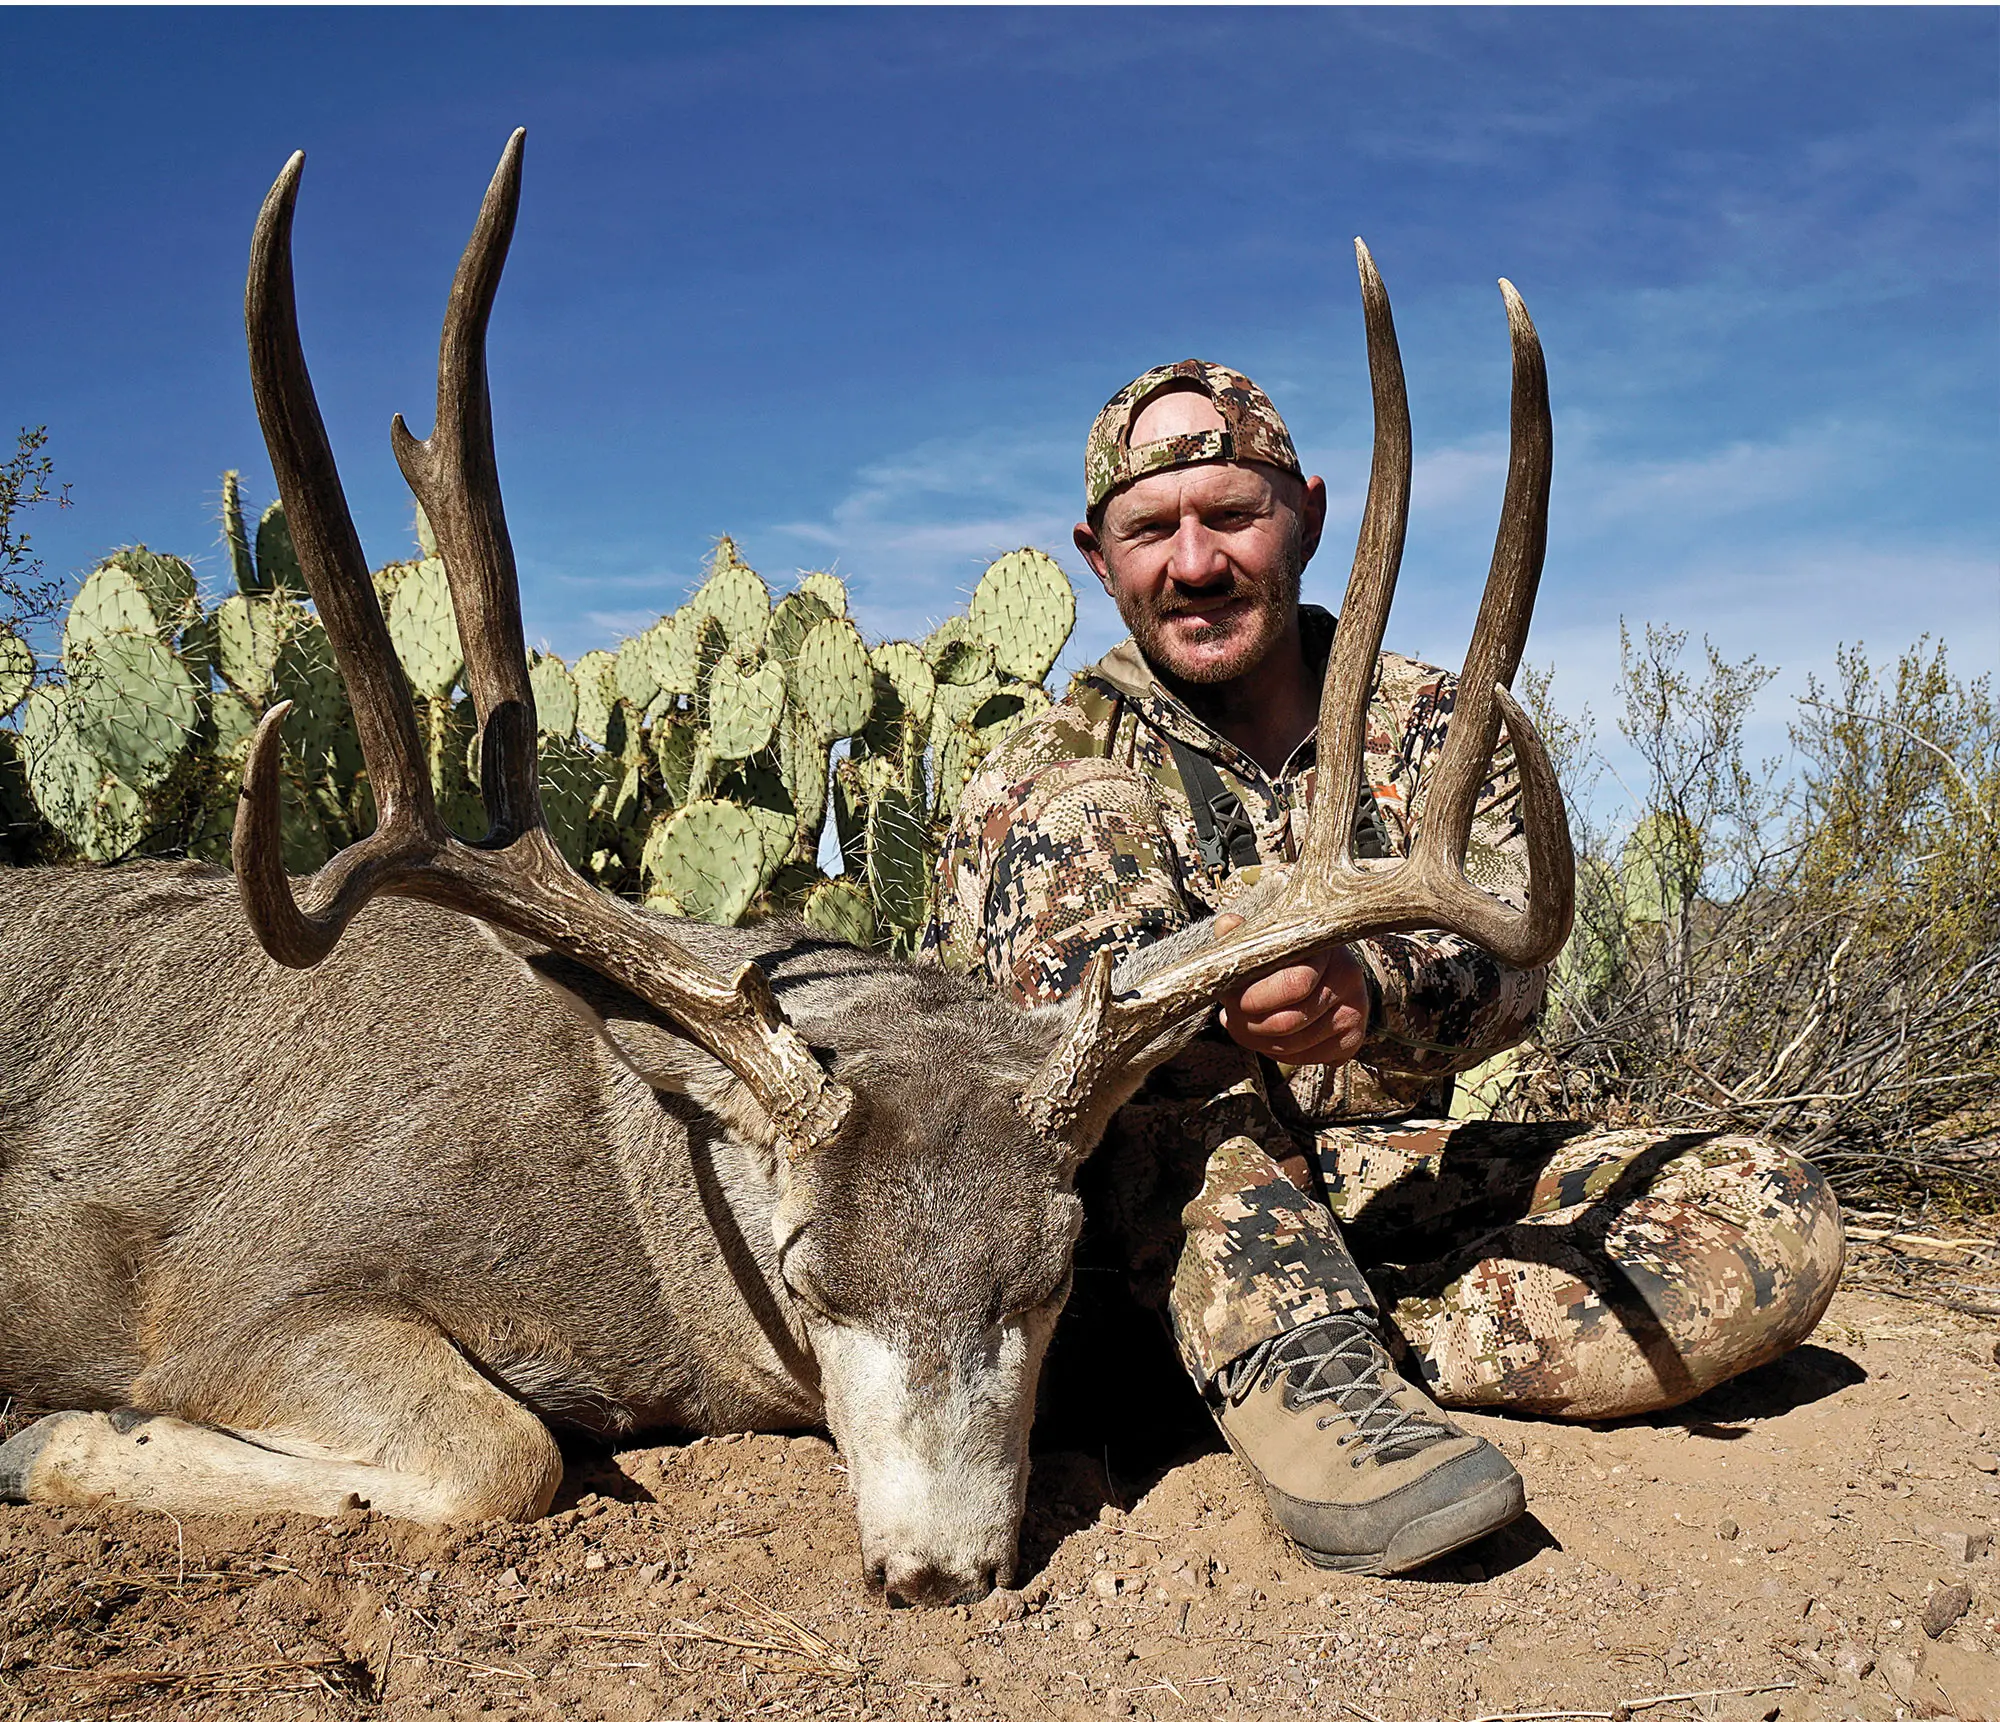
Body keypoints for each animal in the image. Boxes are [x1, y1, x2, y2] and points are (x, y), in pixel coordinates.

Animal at [0, 127, 1568, 1608]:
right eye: (806, 1267)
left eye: (1053, 1270)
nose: (935, 1574)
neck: (642, 1185)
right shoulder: (245, 1286)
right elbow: (504, 1453)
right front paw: (59, 1436)